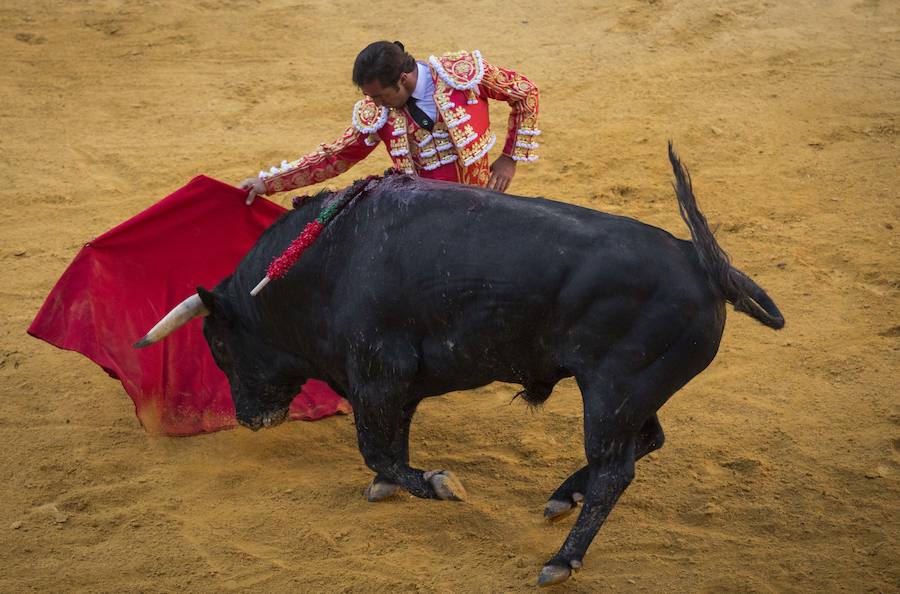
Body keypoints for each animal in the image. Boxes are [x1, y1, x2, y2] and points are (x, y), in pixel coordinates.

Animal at [134, 146, 780, 584]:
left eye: (219, 346)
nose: (249, 418)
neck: (324, 263)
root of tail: (703, 265)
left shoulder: (378, 371)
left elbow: (378, 448)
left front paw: (439, 485)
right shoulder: (395, 383)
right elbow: (392, 443)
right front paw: (392, 485)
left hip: (613, 391)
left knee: (615, 471)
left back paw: (562, 559)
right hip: (632, 393)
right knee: (646, 442)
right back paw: (561, 497)